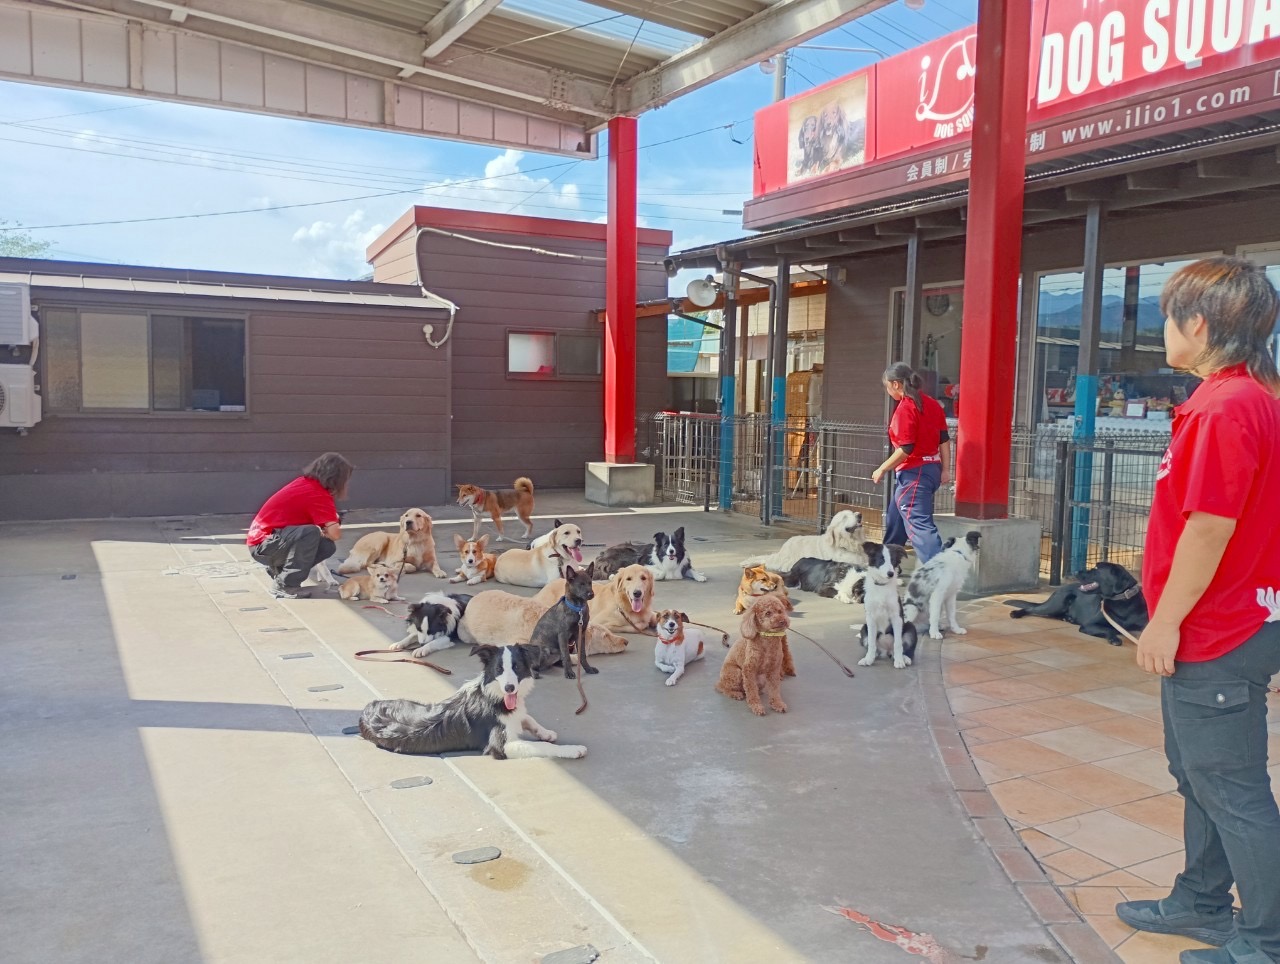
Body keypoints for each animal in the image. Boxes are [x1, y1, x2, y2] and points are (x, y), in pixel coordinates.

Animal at [357, 644, 585, 760]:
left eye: (517, 667)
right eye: (498, 669)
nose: (510, 688)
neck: (495, 695)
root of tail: (366, 709)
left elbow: (527, 717)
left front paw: (546, 732)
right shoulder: (501, 746)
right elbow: (541, 746)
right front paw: (571, 749)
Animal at [1004, 561, 1148, 646]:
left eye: (1096, 568)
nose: (1075, 571)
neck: (1123, 603)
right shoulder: (1089, 625)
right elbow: (1108, 629)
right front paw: (1114, 638)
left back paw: (1068, 618)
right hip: (1056, 604)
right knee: (1032, 609)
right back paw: (1016, 613)